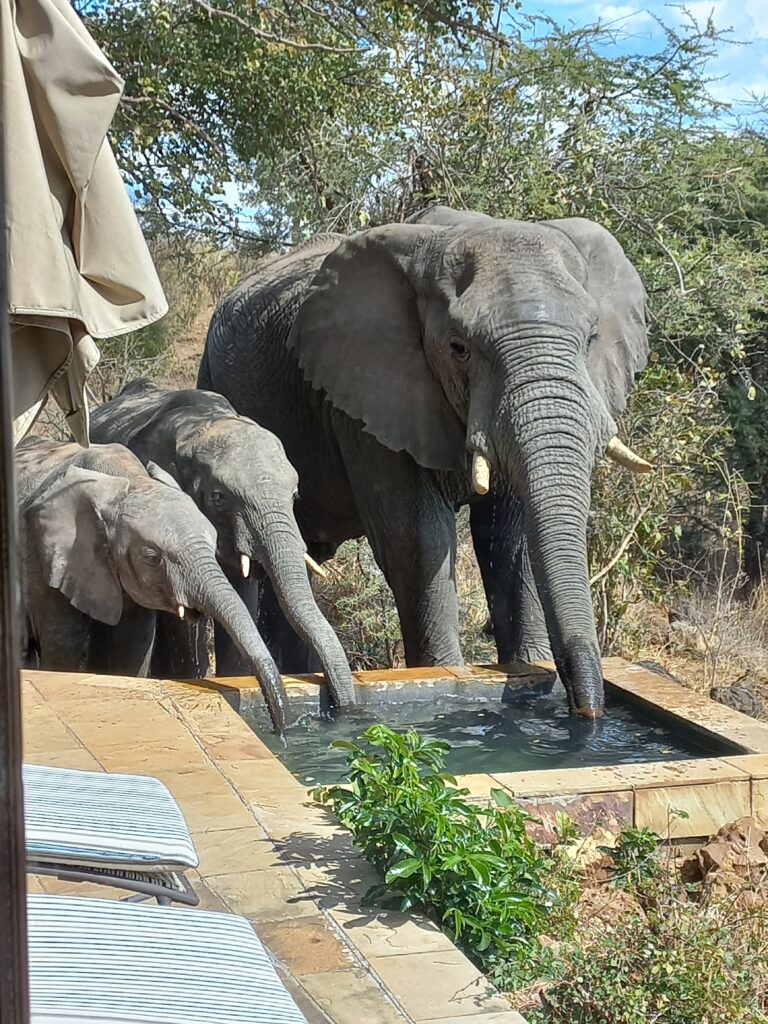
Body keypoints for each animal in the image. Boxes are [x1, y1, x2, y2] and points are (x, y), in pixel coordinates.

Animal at [16, 437, 289, 732]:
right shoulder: (46, 560)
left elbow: (135, 643)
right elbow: (63, 645)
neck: (127, 482)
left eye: (214, 540)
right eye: (152, 557)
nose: (278, 730)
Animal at [88, 379, 355, 708]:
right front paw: (194, 679)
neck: (206, 424)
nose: (339, 704)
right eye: (218, 497)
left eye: (294, 495)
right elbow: (181, 615)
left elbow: (243, 591)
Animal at [198, 211, 650, 718]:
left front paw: (528, 667)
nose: (586, 711)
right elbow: (417, 544)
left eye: (591, 338)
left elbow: (509, 544)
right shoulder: (366, 396)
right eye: (458, 347)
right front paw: (445, 675)